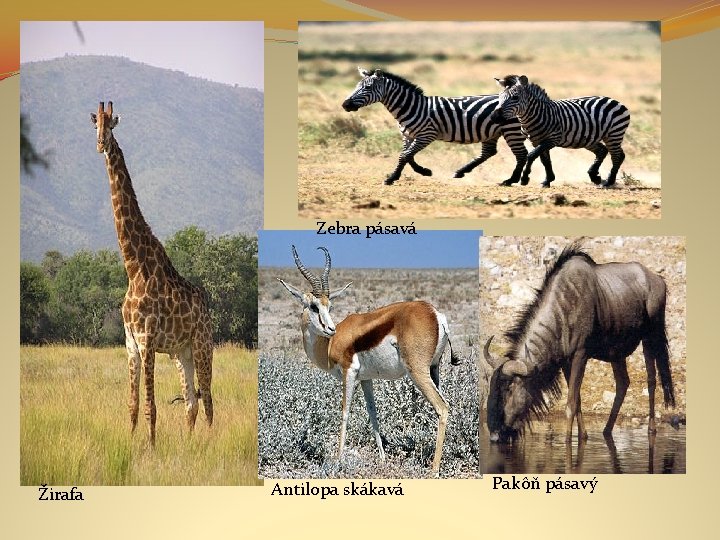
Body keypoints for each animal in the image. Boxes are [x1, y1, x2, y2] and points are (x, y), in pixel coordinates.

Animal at [341, 67, 534, 186]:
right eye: (356, 86)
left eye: (367, 88)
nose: (345, 104)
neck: (412, 107)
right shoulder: (408, 136)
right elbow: (407, 156)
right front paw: (424, 171)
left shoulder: (427, 135)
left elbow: (405, 156)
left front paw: (391, 178)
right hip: (491, 132)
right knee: (488, 153)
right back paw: (460, 172)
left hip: (511, 130)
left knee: (521, 154)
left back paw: (511, 180)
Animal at [491, 75, 631, 188]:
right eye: (500, 97)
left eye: (515, 97)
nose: (494, 117)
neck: (538, 115)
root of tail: (614, 100)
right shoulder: (537, 141)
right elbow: (545, 161)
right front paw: (548, 180)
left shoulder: (551, 139)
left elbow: (531, 155)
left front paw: (525, 178)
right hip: (589, 139)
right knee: (603, 151)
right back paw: (594, 176)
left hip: (613, 134)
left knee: (617, 156)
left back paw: (608, 182)